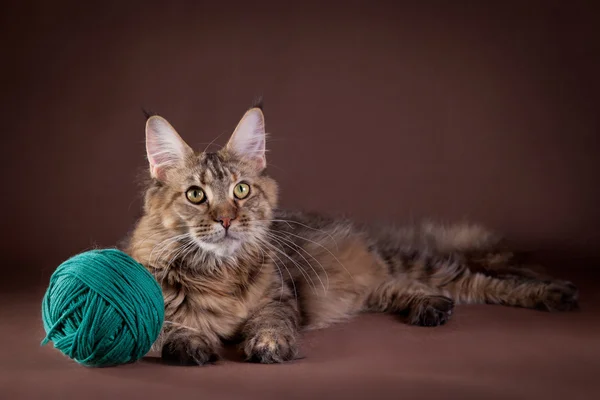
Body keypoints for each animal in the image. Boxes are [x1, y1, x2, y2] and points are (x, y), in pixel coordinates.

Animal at [125, 100, 576, 366]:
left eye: (241, 190)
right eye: (196, 195)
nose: (226, 220)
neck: (219, 273)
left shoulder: (280, 297)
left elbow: (272, 321)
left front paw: (269, 345)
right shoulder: (147, 296)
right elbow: (167, 328)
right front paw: (191, 344)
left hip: (416, 264)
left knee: (476, 282)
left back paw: (555, 293)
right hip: (373, 287)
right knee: (407, 289)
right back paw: (431, 308)